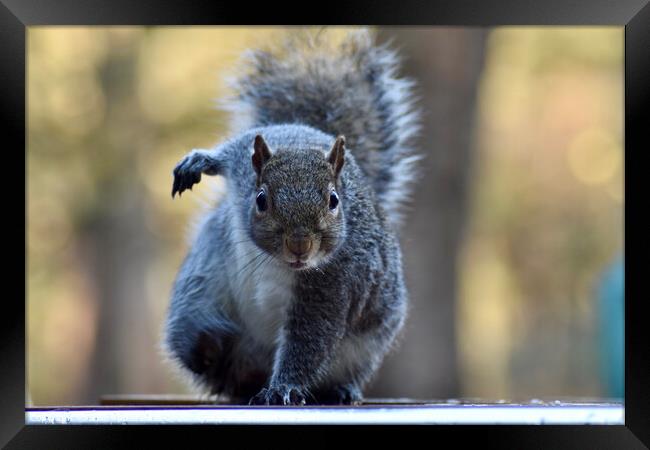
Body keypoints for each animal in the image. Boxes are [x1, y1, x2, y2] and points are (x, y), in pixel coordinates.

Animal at [162, 29, 420, 408]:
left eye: (334, 201)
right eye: (261, 200)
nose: (300, 245)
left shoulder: (334, 283)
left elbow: (308, 342)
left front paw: (283, 387)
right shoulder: (244, 164)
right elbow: (231, 151)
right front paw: (199, 161)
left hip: (364, 348)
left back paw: (339, 390)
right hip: (202, 280)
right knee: (195, 328)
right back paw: (206, 348)